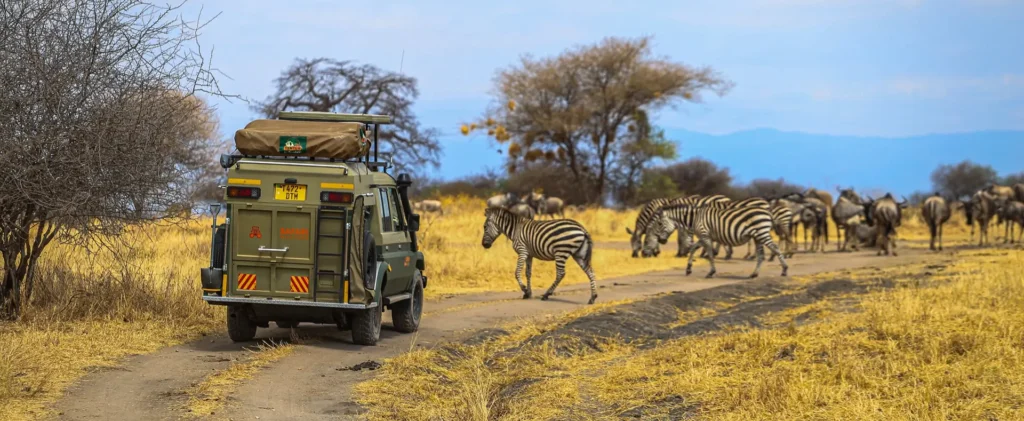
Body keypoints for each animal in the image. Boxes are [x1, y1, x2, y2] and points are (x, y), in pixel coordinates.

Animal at [647, 202, 788, 278]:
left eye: (659, 223)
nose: (661, 241)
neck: (695, 218)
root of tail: (768, 212)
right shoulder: (704, 236)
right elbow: (693, 249)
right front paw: (688, 269)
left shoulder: (705, 235)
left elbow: (709, 254)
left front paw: (711, 272)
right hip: (757, 236)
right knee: (761, 254)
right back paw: (754, 274)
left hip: (762, 233)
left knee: (775, 248)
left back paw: (784, 270)